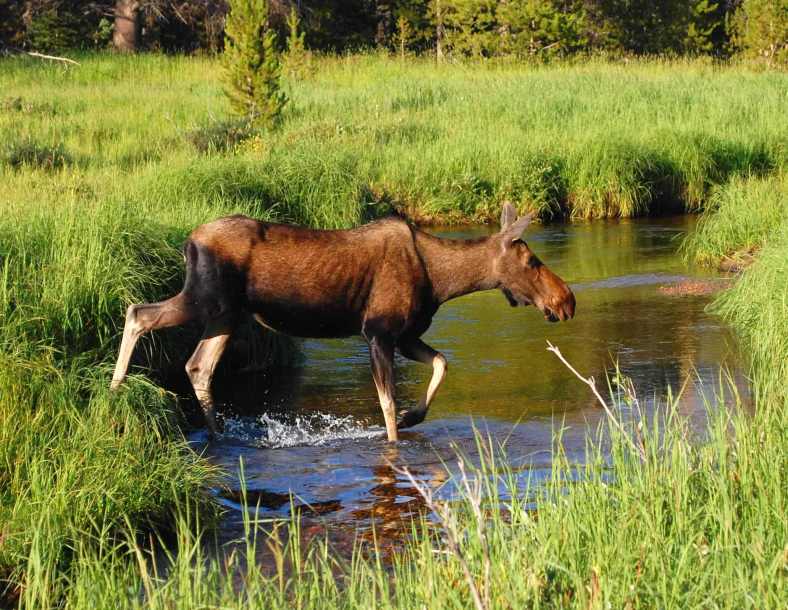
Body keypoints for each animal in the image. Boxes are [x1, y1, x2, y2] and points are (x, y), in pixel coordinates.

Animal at [110, 202, 575, 442]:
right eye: (532, 262)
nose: (567, 300)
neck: (442, 282)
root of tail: (189, 240)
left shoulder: (405, 335)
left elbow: (442, 363)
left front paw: (413, 414)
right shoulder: (379, 332)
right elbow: (385, 406)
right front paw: (398, 429)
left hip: (226, 314)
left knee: (197, 366)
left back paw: (218, 435)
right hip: (206, 299)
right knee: (138, 313)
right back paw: (116, 388)